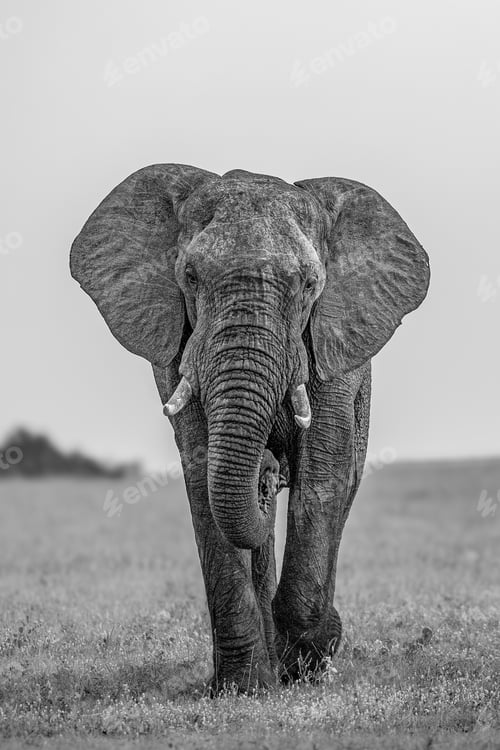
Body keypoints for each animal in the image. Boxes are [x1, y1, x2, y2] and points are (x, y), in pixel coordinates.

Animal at [70, 164, 429, 693]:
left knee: (345, 486)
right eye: (190, 277)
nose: (267, 470)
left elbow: (322, 472)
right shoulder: (178, 349)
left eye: (309, 284)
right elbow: (203, 478)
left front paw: (310, 661)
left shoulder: (336, 345)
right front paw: (243, 688)